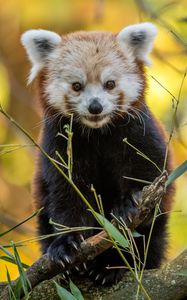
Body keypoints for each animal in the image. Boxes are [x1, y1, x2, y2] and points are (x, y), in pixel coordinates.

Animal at [21, 22, 173, 284]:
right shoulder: (61, 147)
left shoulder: (141, 135)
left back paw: (112, 266)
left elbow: (148, 178)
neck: (98, 133)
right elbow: (66, 195)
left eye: (109, 84)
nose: (95, 106)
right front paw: (67, 245)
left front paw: (127, 204)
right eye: (77, 86)